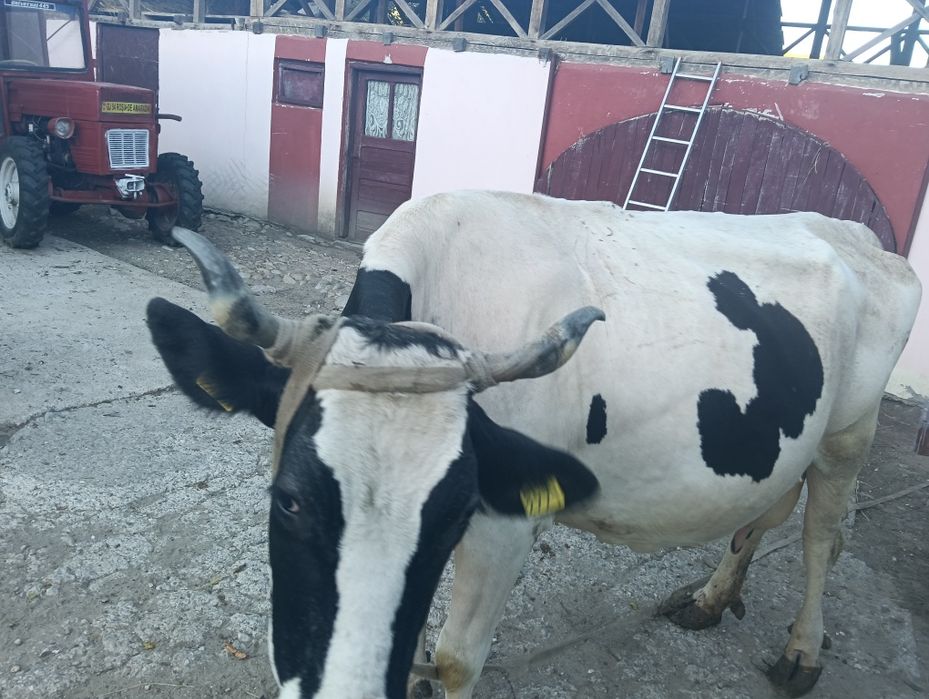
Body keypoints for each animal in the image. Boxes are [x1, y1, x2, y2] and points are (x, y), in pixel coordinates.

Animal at [146, 191, 920, 699]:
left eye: (455, 513)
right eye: (289, 500)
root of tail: (856, 232)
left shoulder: (502, 524)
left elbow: (456, 658)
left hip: (848, 435)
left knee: (820, 535)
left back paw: (802, 650)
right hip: (789, 441)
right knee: (763, 512)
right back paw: (709, 598)